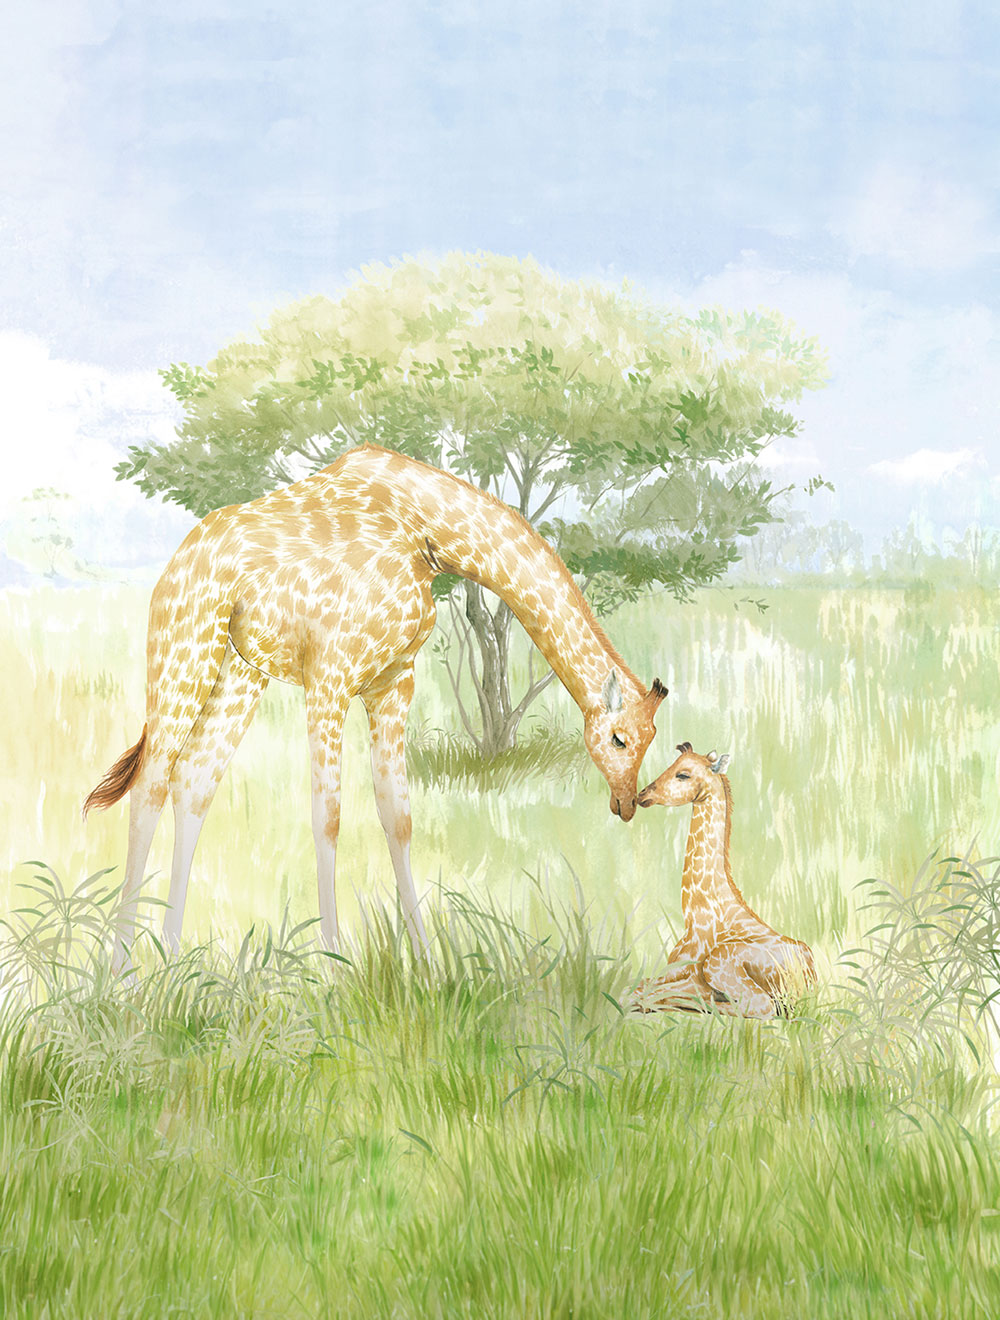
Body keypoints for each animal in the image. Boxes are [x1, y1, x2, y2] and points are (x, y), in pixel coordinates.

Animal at [84, 444, 667, 971]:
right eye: (619, 739)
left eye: (651, 741)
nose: (626, 803)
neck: (426, 532)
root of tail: (173, 566)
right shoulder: (329, 677)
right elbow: (328, 816)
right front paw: (332, 967)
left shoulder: (394, 682)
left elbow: (397, 816)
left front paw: (426, 964)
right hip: (185, 653)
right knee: (151, 783)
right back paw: (120, 973)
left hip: (241, 672)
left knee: (195, 780)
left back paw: (171, 957)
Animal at [627, 743, 815, 1019]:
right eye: (671, 766)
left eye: (683, 774)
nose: (642, 795)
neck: (695, 918)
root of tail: (810, 978)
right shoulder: (668, 972)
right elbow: (634, 986)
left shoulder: (694, 975)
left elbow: (640, 993)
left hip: (720, 962)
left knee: (762, 1006)